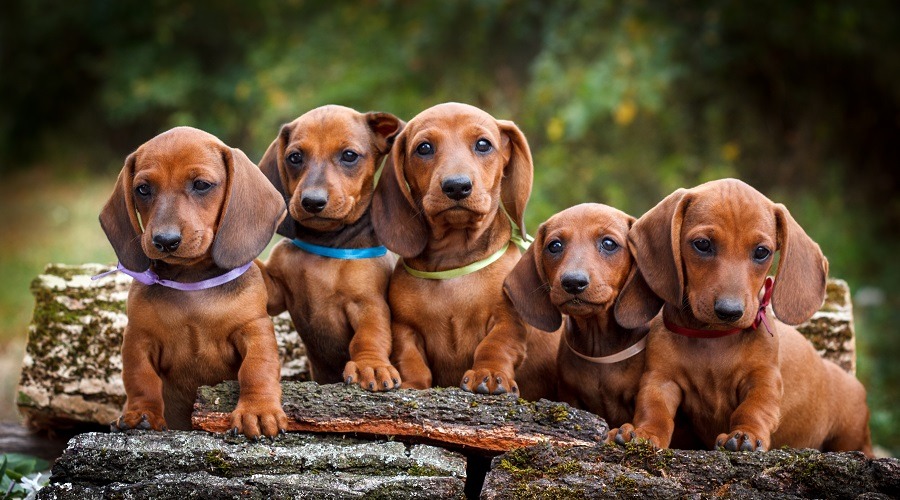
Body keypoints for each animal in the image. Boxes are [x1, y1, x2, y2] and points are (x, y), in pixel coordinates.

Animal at [99, 126, 288, 438]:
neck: (192, 284)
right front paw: (142, 413)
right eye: (143, 189)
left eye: (201, 185)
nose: (165, 240)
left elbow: (257, 368)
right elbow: (140, 378)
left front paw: (258, 411)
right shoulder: (139, 337)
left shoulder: (254, 328)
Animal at [258, 105, 402, 388]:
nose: (312, 202)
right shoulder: (276, 290)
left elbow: (369, 335)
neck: (325, 244)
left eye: (349, 155)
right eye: (294, 157)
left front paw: (371, 366)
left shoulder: (369, 303)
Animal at [370, 102, 556, 402]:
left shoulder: (508, 320)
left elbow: (495, 346)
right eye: (424, 148)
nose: (457, 186)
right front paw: (412, 384)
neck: (453, 263)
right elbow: (410, 358)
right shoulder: (404, 328)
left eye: (483, 144)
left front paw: (489, 374)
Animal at [612, 178, 872, 456]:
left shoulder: (764, 379)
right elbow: (654, 408)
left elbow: (754, 408)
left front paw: (745, 435)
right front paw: (644, 433)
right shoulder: (661, 379)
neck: (712, 338)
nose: (730, 311)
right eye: (702, 244)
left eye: (761, 251)